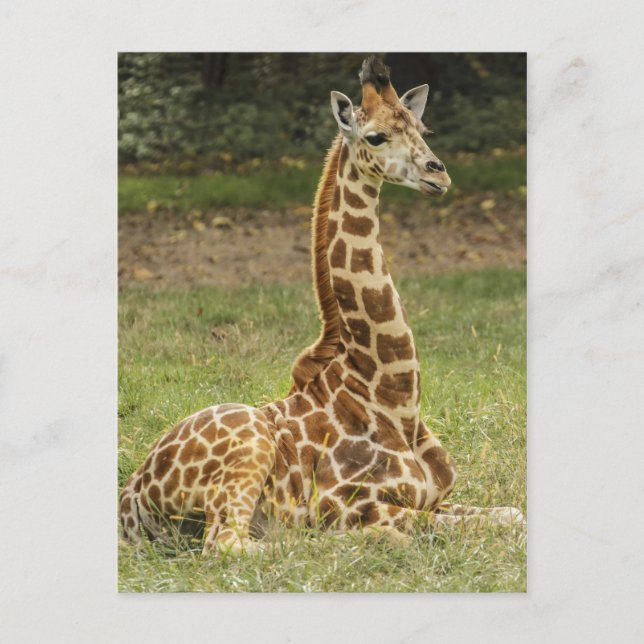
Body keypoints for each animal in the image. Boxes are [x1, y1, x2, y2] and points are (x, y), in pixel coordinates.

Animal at [119, 57, 524, 556]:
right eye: (376, 137)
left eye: (422, 128)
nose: (439, 174)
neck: (394, 398)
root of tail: (130, 498)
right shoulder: (349, 503)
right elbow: (417, 529)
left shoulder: (439, 498)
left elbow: (513, 515)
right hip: (248, 454)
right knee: (236, 543)